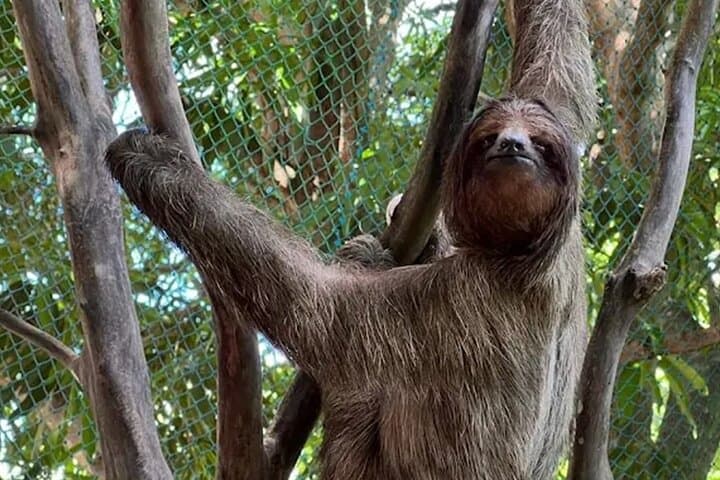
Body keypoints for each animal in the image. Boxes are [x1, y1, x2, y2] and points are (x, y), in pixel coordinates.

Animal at [105, 0, 596, 477]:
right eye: (488, 138)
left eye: (541, 147)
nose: (513, 146)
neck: (521, 253)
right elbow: (559, 70)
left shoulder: (455, 299)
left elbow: (317, 304)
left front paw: (148, 159)